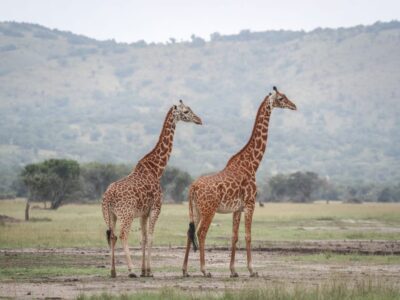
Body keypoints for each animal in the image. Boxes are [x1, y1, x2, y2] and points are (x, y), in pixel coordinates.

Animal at [103, 99, 203, 278]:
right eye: (185, 111)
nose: (199, 120)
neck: (156, 169)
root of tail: (108, 196)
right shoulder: (156, 208)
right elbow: (150, 237)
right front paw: (148, 271)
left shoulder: (143, 212)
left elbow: (143, 237)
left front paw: (144, 270)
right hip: (126, 214)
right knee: (123, 235)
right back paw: (131, 270)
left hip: (110, 216)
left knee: (112, 236)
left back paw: (113, 271)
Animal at [183, 86, 296, 276]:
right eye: (281, 98)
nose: (294, 106)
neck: (252, 164)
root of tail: (192, 187)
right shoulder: (250, 204)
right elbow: (248, 235)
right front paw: (252, 270)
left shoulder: (237, 209)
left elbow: (234, 236)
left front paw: (233, 270)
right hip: (208, 210)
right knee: (201, 233)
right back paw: (205, 270)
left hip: (196, 210)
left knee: (189, 232)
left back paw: (184, 270)